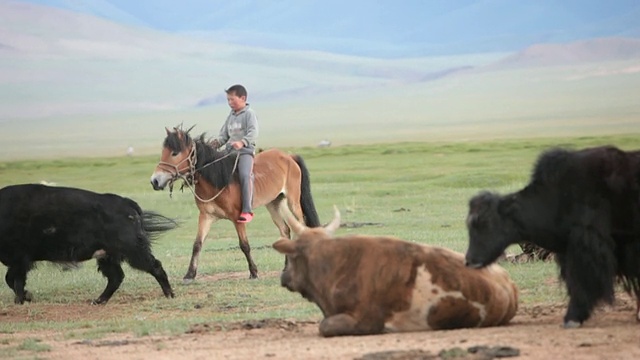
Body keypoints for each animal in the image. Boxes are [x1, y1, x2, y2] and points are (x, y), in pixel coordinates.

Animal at [0, 184, 176, 306]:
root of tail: (128, 203)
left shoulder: (20, 260)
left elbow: (14, 280)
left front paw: (22, 299)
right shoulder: (19, 261)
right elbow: (12, 280)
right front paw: (25, 297)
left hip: (133, 252)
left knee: (154, 266)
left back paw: (169, 295)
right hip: (108, 256)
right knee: (116, 277)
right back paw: (98, 301)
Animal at [150, 126, 320, 284]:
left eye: (175, 153)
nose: (155, 181)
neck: (218, 179)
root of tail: (288, 156)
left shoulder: (237, 217)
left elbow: (244, 245)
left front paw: (253, 272)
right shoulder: (206, 216)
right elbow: (197, 244)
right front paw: (189, 275)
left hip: (293, 201)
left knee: (301, 226)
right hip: (274, 203)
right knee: (285, 231)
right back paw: (286, 267)